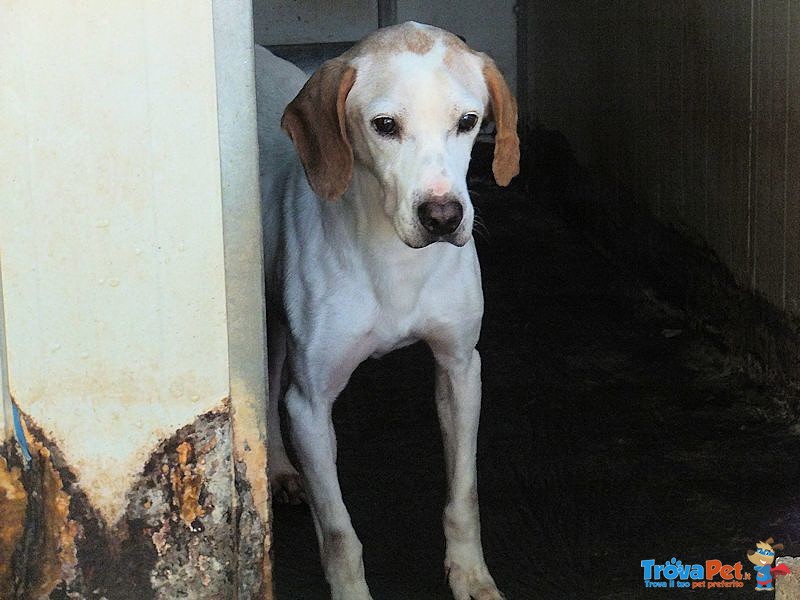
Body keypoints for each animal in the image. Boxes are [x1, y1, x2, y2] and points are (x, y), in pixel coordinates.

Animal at [256, 21, 520, 596]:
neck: (396, 264)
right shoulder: (311, 406)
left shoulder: (461, 369)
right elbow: (338, 534)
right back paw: (281, 467)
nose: (444, 216)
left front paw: (470, 574)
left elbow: (463, 495)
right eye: (384, 126)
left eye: (468, 122)